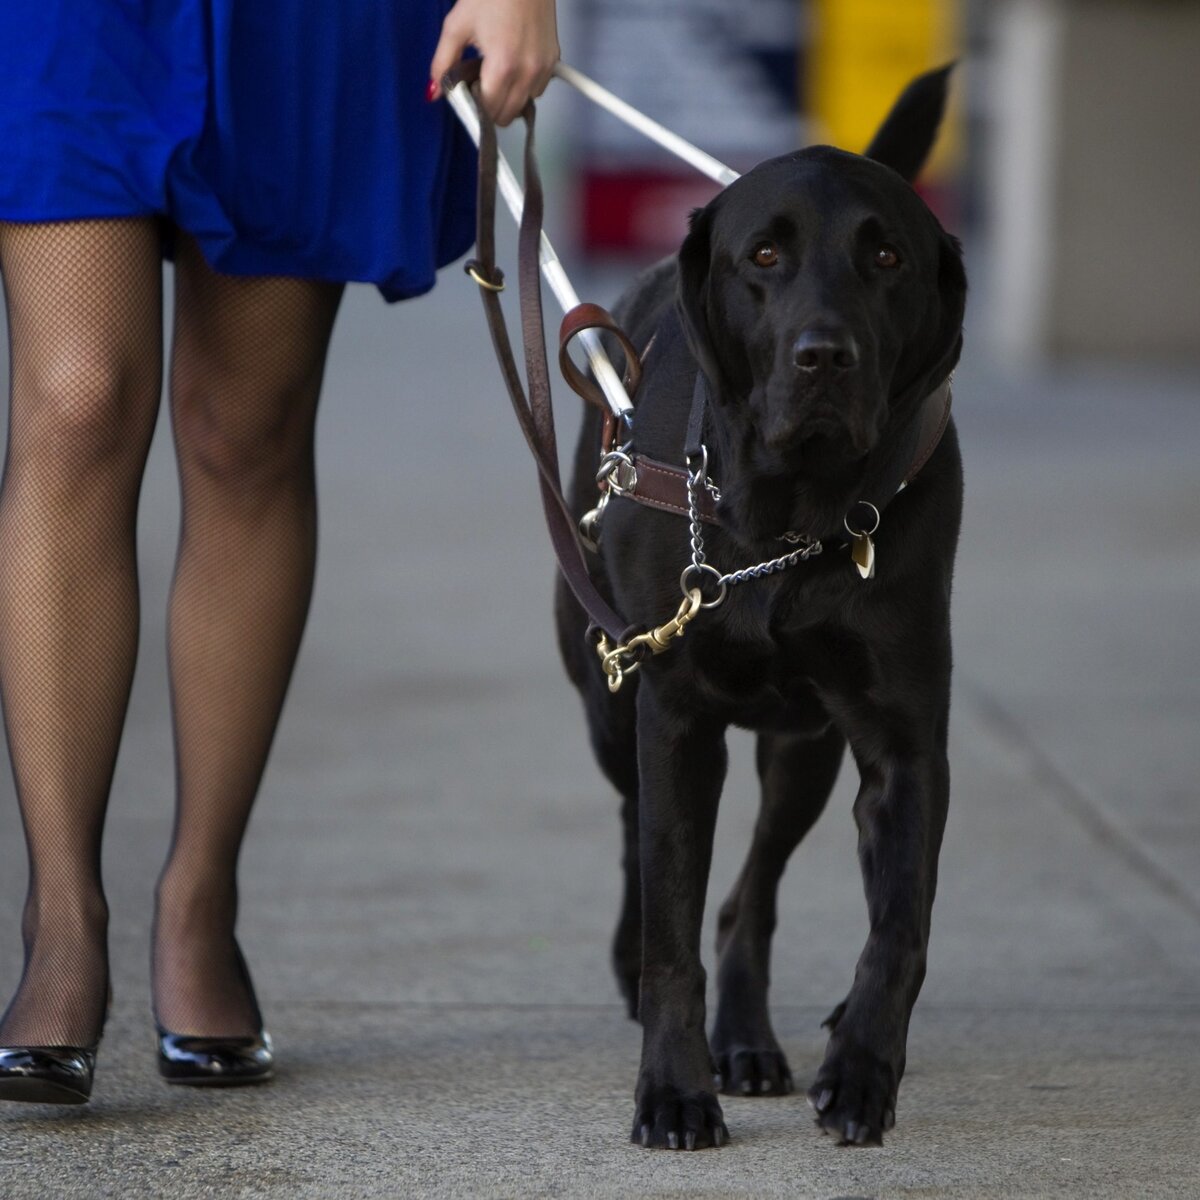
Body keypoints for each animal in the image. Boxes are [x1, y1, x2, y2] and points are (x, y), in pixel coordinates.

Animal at [554, 68, 964, 1152]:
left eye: (887, 256)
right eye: (765, 256)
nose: (826, 356)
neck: (793, 516)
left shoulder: (905, 742)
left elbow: (899, 929)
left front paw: (862, 1071)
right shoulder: (674, 718)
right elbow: (670, 930)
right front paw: (671, 1091)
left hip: (803, 749)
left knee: (751, 894)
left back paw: (746, 1038)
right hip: (610, 702)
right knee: (640, 838)